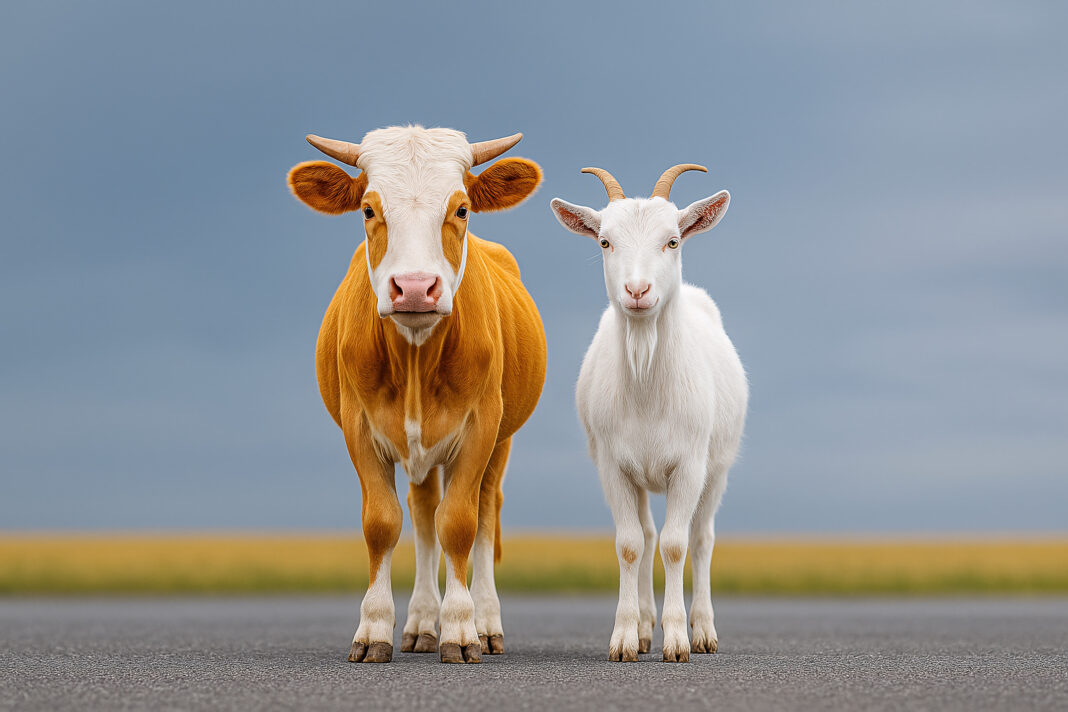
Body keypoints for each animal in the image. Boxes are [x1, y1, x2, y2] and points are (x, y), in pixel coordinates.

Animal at [287, 126, 546, 664]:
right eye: (368, 209)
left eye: (462, 208)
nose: (412, 287)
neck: (414, 362)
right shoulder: (359, 427)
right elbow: (384, 522)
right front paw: (375, 629)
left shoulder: (482, 426)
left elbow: (461, 524)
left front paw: (462, 629)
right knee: (424, 514)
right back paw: (422, 621)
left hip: (502, 439)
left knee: (485, 512)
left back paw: (485, 622)